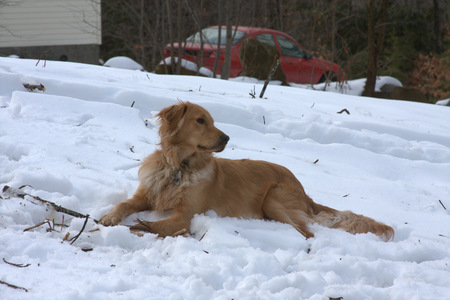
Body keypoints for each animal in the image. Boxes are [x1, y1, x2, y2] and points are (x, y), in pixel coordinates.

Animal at [99, 102, 394, 241]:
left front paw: (137, 227)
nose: (227, 137)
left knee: (305, 232)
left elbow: (157, 225)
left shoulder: (186, 214)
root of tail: (303, 189)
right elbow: (124, 204)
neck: (179, 166)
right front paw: (110, 217)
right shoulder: (144, 195)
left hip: (273, 197)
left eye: (213, 121)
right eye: (200, 120)